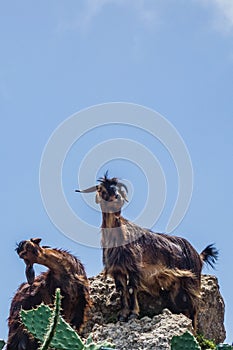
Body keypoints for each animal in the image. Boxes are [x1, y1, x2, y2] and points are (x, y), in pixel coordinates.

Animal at [77, 174, 218, 332]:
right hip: (176, 286)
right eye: (102, 190)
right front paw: (123, 315)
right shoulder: (118, 269)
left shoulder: (134, 267)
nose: (117, 198)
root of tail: (198, 255)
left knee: (194, 308)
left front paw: (133, 314)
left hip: (192, 282)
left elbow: (131, 289)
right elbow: (122, 290)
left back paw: (193, 329)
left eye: (116, 188)